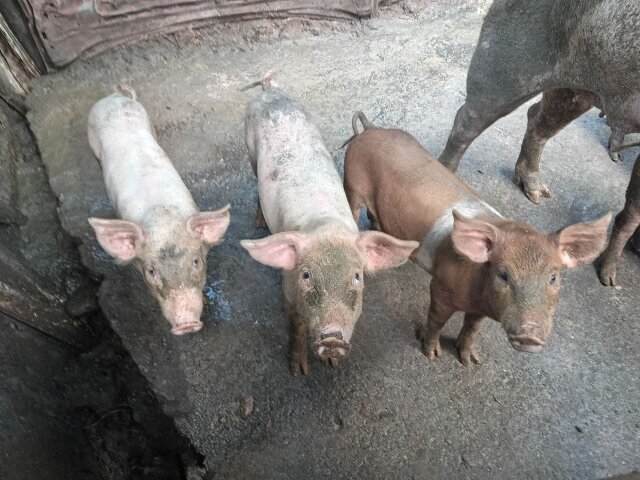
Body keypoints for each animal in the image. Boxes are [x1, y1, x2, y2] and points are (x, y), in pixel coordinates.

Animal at [240, 73, 419, 376]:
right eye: (306, 275)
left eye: (357, 276)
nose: (333, 338)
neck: (326, 227)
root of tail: (268, 90)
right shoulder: (288, 291)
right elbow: (297, 328)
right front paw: (299, 371)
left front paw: (332, 364)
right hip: (250, 150)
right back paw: (259, 223)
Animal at [344, 112, 611, 365]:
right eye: (503, 274)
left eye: (553, 278)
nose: (530, 335)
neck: (477, 295)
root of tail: (369, 130)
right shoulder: (440, 288)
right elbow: (436, 321)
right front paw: (432, 354)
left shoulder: (480, 309)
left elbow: (472, 328)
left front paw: (470, 361)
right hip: (352, 183)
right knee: (354, 211)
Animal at [439, 0, 640, 204]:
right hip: (508, 66)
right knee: (467, 121)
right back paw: (446, 175)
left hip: (578, 88)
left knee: (538, 120)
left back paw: (538, 194)